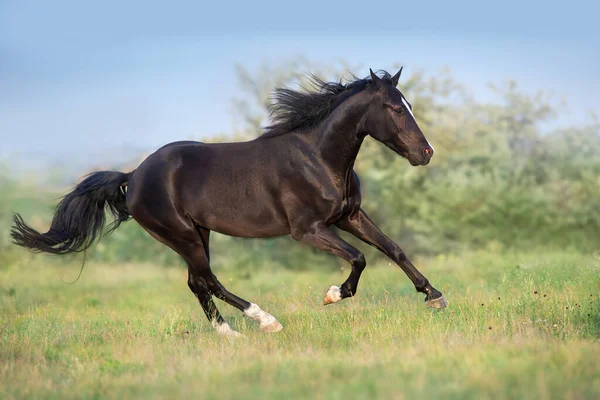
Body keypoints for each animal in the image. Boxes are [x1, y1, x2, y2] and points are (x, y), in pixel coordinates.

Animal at [11, 68, 448, 334]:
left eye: (409, 105)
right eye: (394, 108)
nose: (425, 153)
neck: (318, 158)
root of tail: (133, 176)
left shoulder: (350, 216)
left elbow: (393, 248)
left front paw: (435, 297)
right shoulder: (307, 230)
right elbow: (359, 258)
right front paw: (332, 295)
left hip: (198, 232)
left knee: (198, 282)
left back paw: (229, 333)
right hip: (182, 234)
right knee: (206, 280)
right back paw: (264, 321)